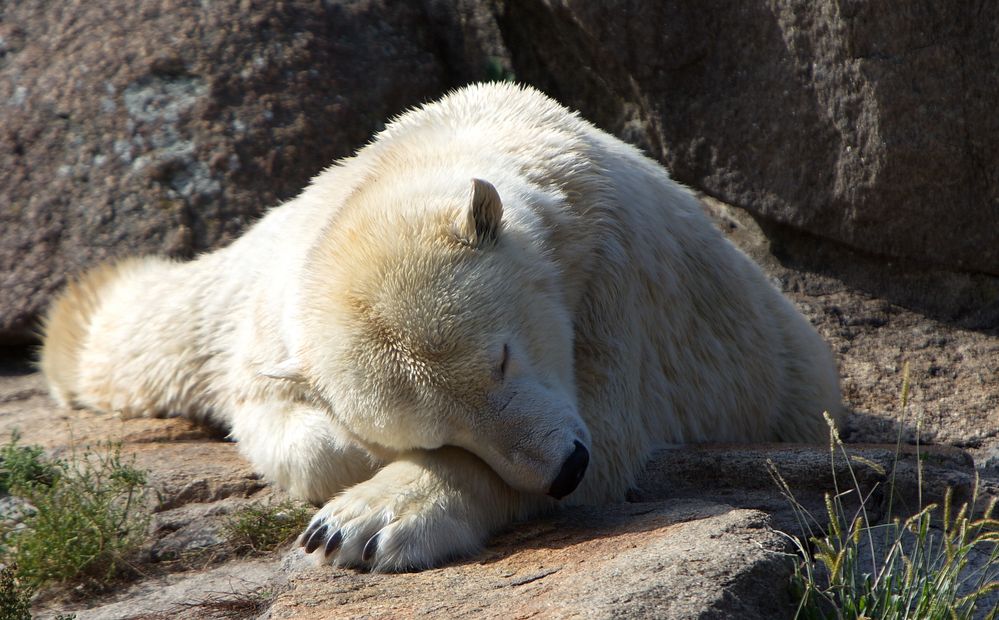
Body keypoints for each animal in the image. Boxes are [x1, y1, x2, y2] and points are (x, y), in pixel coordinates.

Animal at [39, 81, 840, 572]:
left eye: (502, 359)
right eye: (437, 433)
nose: (561, 468)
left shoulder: (615, 277)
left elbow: (611, 434)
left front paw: (357, 524)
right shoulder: (276, 305)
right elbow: (273, 408)